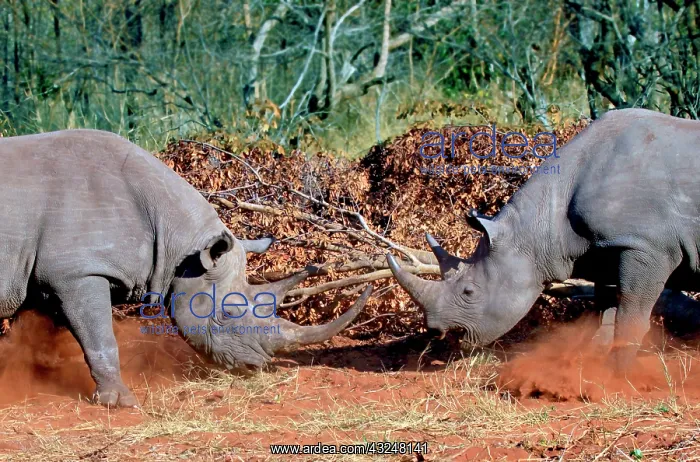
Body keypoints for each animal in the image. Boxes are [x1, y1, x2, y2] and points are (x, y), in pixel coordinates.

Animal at [0, 129, 372, 407]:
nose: (256, 366)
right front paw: (120, 402)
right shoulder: (79, 272)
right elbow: (99, 335)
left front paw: (32, 373)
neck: (180, 242)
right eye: (228, 314)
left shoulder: (47, 272)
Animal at [388, 108, 700, 373]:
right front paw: (589, 369)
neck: (541, 225)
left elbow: (630, 315)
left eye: (469, 292)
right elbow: (604, 311)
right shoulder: (607, 250)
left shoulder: (646, 246)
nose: (435, 330)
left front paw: (617, 377)